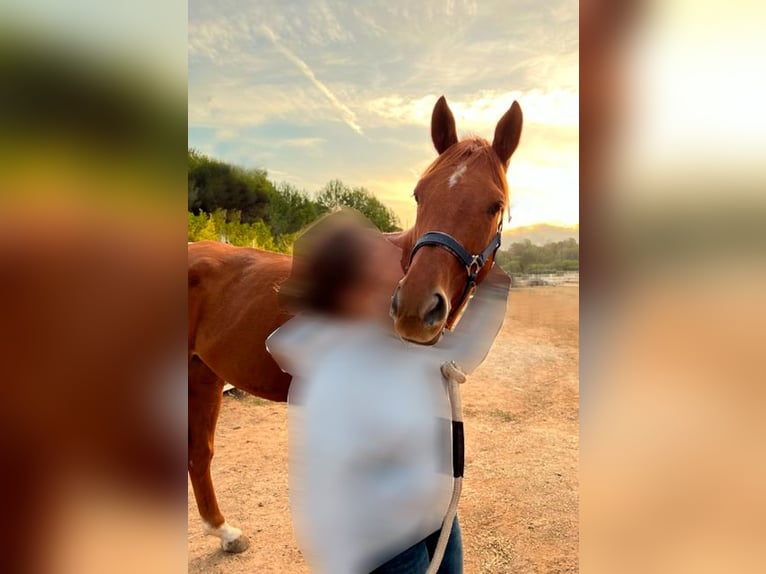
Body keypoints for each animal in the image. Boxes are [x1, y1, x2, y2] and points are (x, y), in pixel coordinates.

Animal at [188, 94, 520, 552]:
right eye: (419, 195)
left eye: (495, 205)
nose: (415, 308)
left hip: (202, 372)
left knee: (198, 454)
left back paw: (224, 532)